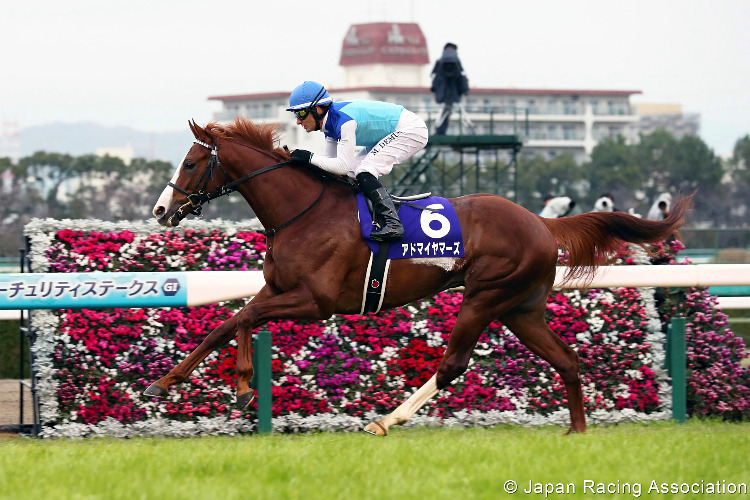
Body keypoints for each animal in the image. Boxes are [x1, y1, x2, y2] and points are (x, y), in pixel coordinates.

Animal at [147, 117, 692, 434]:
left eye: (192, 162)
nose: (160, 211)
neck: (303, 211)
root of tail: (541, 221)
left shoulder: (316, 301)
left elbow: (243, 320)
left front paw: (241, 385)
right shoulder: (277, 288)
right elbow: (227, 323)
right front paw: (167, 382)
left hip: (485, 296)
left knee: (453, 365)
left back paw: (387, 420)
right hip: (521, 307)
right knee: (568, 359)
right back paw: (576, 431)